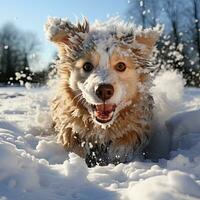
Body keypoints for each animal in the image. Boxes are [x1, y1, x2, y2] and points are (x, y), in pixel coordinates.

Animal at [45, 17, 159, 166]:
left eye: (121, 66)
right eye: (87, 66)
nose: (104, 90)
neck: (102, 130)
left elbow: (125, 142)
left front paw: (118, 154)